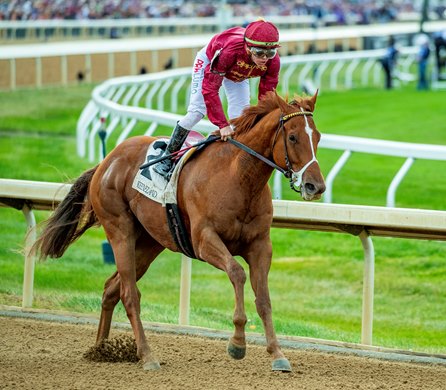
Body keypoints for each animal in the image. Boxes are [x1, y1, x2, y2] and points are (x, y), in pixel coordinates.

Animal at [34, 90, 324, 372]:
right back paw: (147, 356)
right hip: (120, 231)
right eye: (293, 137)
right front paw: (237, 343)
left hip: (149, 243)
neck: (238, 177)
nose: (315, 186)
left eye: (318, 137)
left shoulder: (260, 245)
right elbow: (237, 273)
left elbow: (264, 299)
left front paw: (277, 354)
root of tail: (106, 161)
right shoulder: (204, 241)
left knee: (111, 288)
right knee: (129, 294)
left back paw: (101, 349)